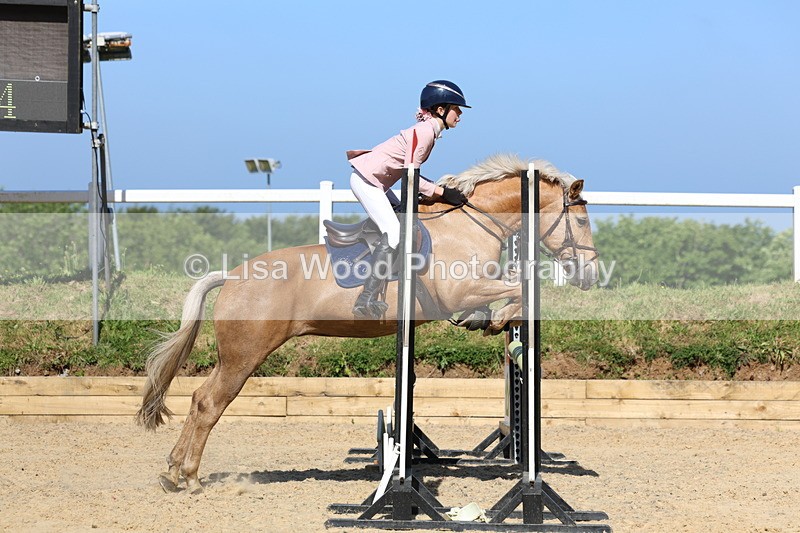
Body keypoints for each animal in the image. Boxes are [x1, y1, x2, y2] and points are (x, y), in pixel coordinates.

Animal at [136, 154, 599, 494]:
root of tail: (231, 277)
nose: (589, 276)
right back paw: (190, 478)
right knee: (211, 404)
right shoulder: (460, 289)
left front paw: (490, 319)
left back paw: (172, 471)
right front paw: (495, 317)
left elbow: (514, 290)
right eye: (581, 220)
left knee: (199, 399)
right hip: (245, 355)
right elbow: (517, 289)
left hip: (233, 356)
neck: (471, 223)